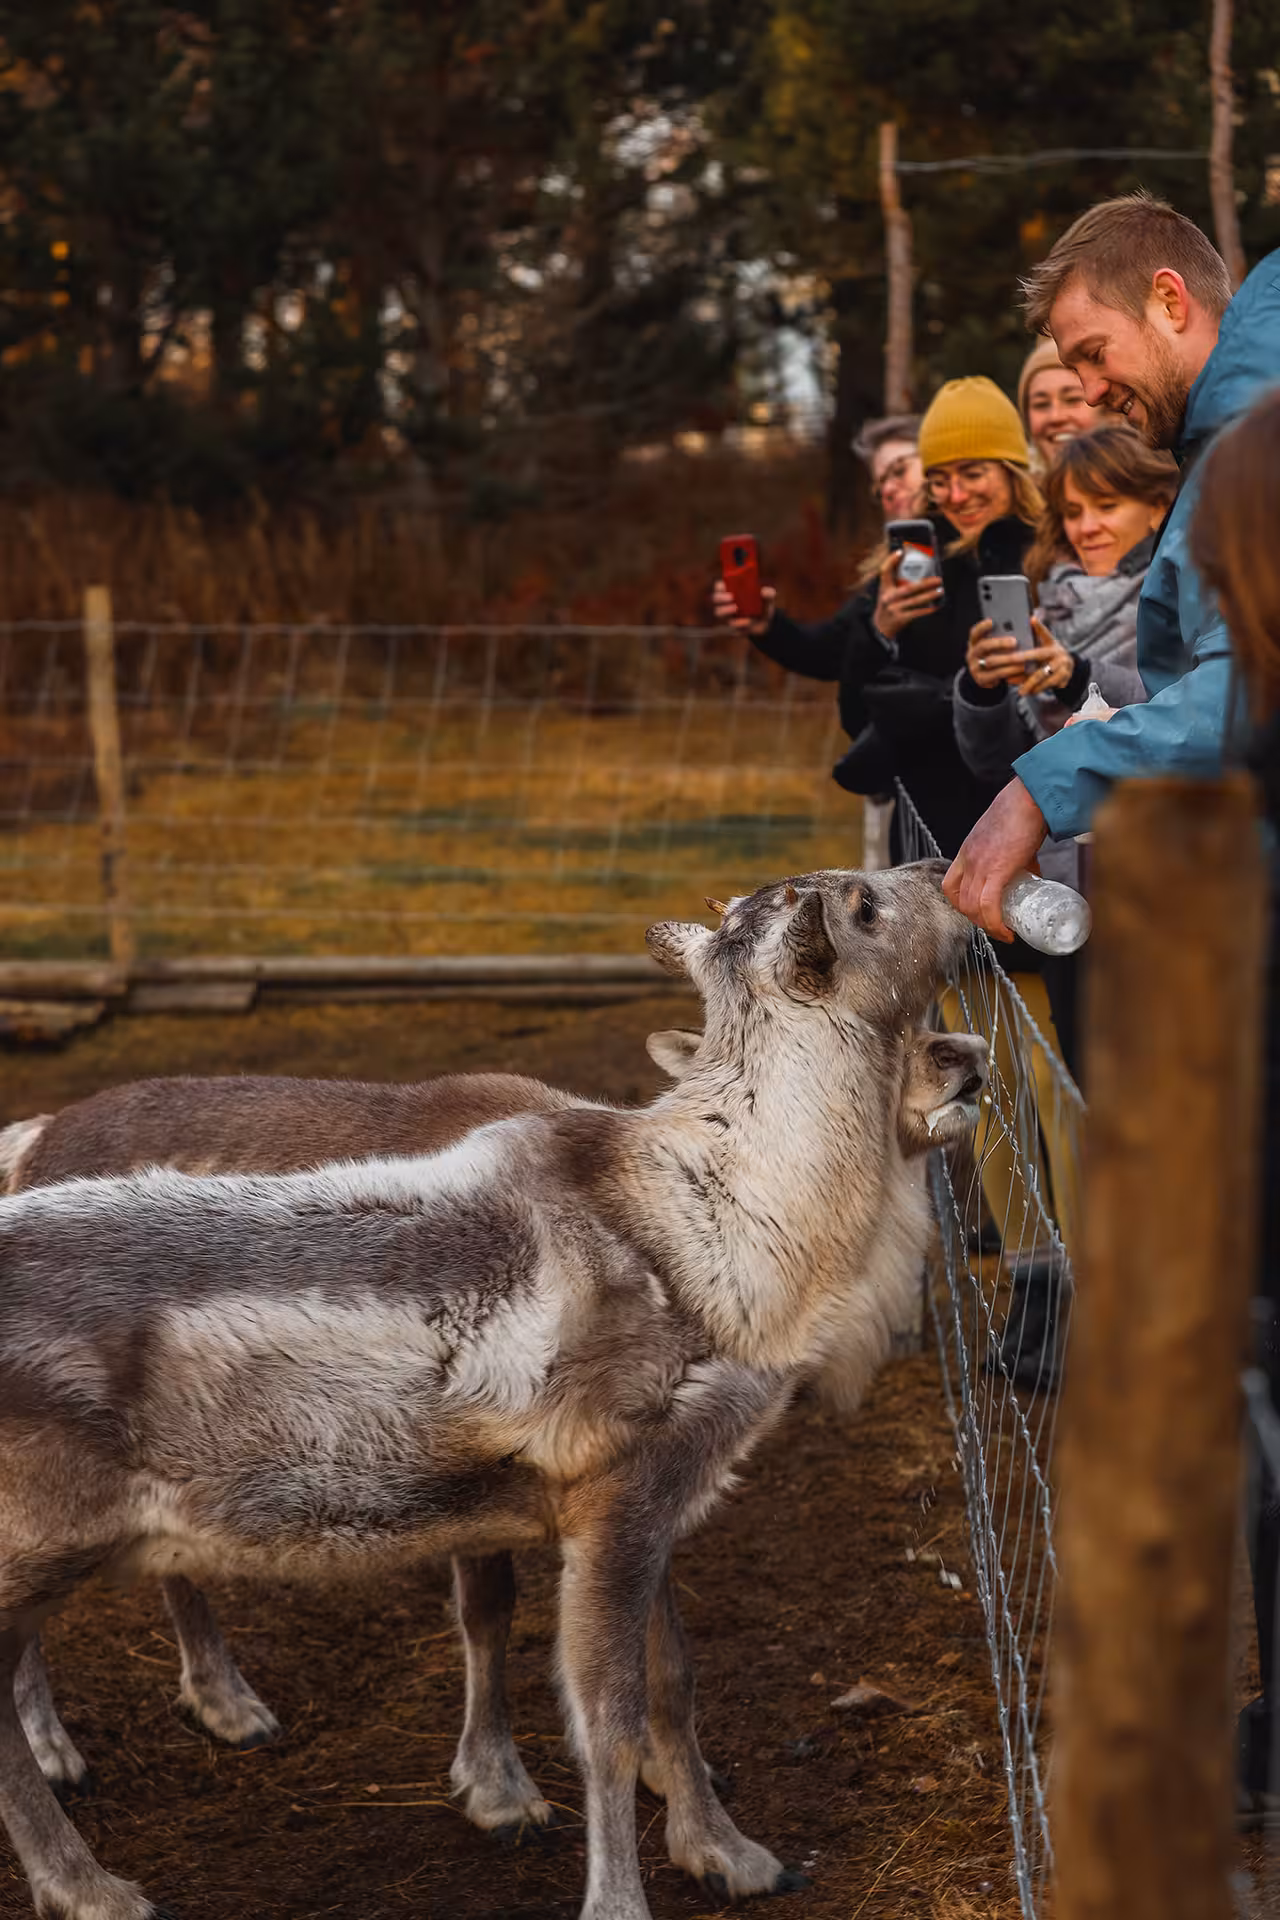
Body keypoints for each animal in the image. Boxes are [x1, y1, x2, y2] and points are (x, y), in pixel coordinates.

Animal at [0, 861, 975, 1920]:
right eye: (864, 903)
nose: (939, 870)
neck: (736, 1228)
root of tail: (33, 1133)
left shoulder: (646, 1499)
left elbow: (674, 1681)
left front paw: (732, 1853)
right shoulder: (613, 1492)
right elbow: (603, 1721)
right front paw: (605, 1884)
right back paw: (90, 1872)